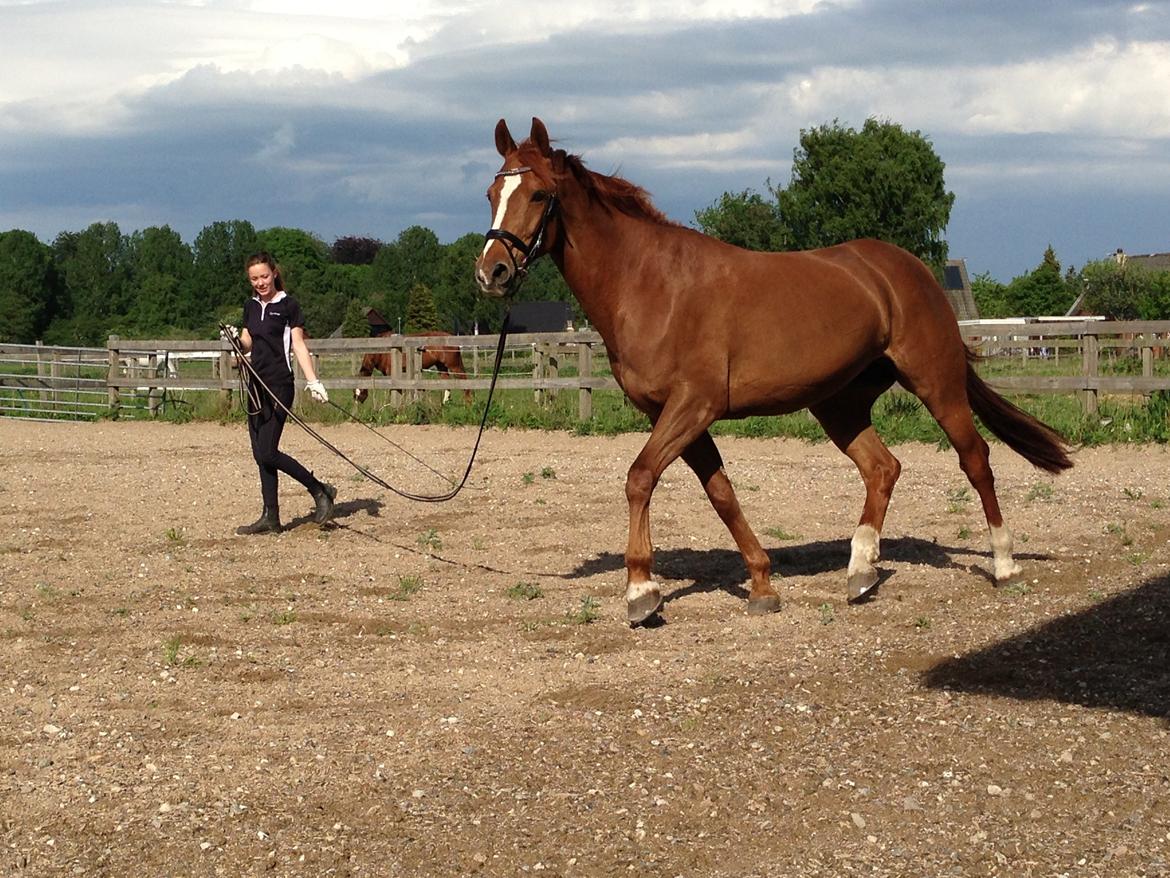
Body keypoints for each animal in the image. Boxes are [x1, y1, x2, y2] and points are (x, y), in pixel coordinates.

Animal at [472, 118, 1071, 627]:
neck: (651, 286)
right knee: (882, 468)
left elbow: (640, 477)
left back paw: (1003, 563)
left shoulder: (692, 406)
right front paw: (762, 584)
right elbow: (721, 493)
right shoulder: (678, 416)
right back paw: (861, 571)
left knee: (976, 459)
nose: (491, 273)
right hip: (838, 404)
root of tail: (907, 269)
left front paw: (641, 591)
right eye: (491, 195)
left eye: (539, 195)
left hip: (935, 383)